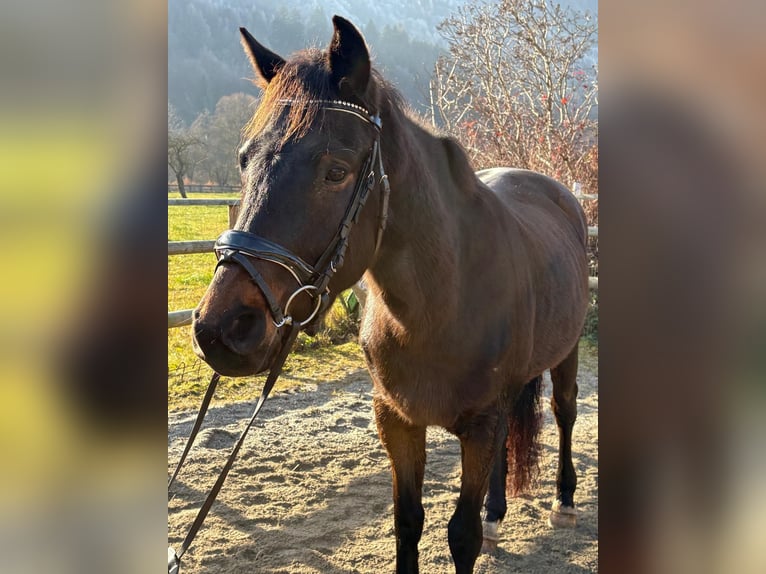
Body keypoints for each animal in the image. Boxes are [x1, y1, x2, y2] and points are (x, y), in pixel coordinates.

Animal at [191, 16, 588, 574]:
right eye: (244, 161)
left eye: (336, 171)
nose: (220, 328)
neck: (440, 305)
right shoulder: (397, 422)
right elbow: (407, 523)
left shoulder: (479, 424)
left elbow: (460, 534)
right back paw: (496, 513)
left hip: (565, 354)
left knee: (565, 411)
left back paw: (564, 502)